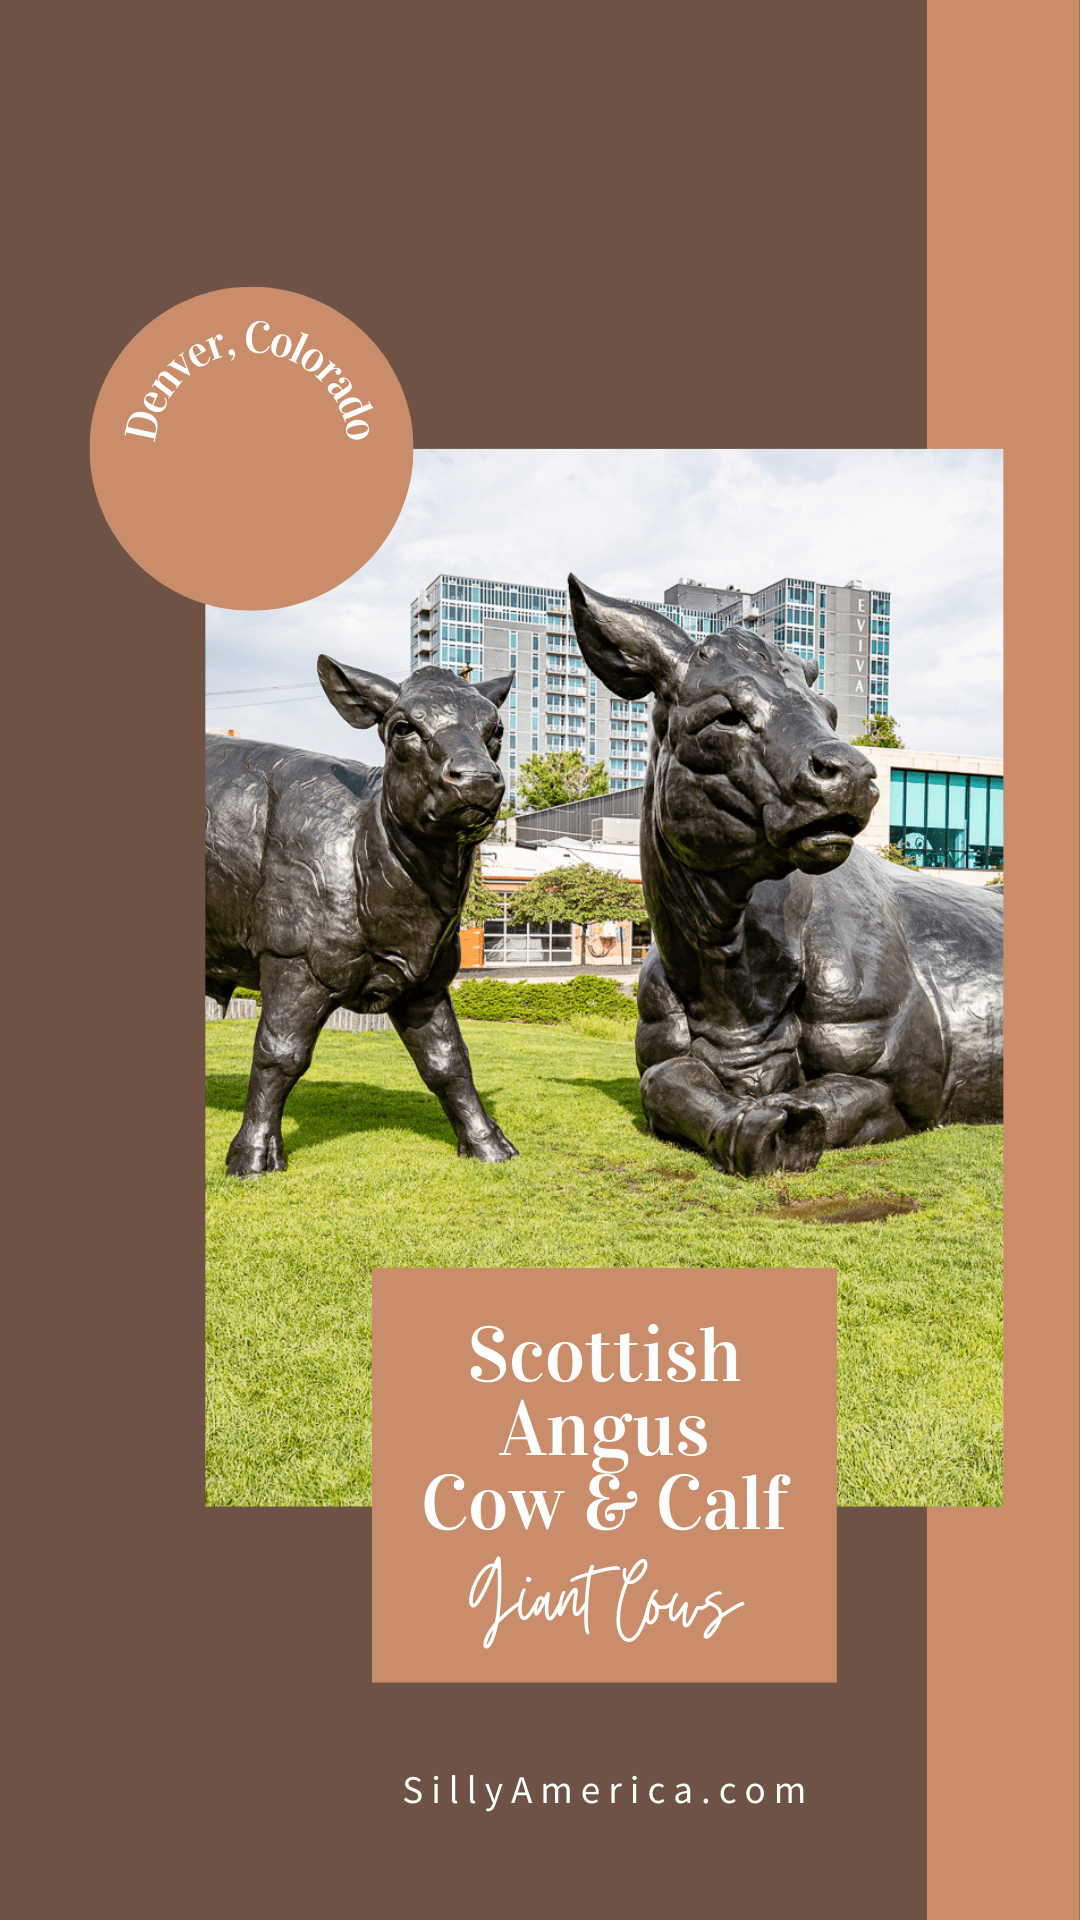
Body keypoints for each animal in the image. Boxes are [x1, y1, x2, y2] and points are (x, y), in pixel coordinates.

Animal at [209, 652, 518, 1175]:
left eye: (494, 729)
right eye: (402, 727)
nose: (477, 779)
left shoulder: (426, 981)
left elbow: (448, 1062)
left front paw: (487, 1144)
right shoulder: (294, 959)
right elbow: (279, 1055)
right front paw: (251, 1155)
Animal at [568, 568, 999, 1175]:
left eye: (829, 712)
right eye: (725, 714)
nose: (853, 773)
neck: (734, 988)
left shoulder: (905, 1085)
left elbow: (819, 1107)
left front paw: (781, 1127)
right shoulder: (658, 1054)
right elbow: (664, 1086)